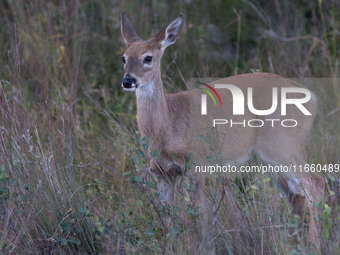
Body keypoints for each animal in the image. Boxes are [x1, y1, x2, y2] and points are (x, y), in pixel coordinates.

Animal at [119, 11, 324, 253]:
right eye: (124, 57)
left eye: (148, 58)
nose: (128, 80)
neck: (168, 127)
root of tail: (312, 97)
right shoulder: (162, 173)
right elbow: (168, 219)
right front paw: (171, 247)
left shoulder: (196, 165)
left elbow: (197, 215)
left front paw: (199, 246)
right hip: (269, 157)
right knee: (296, 196)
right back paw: (295, 244)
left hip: (284, 145)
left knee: (316, 184)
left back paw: (315, 244)